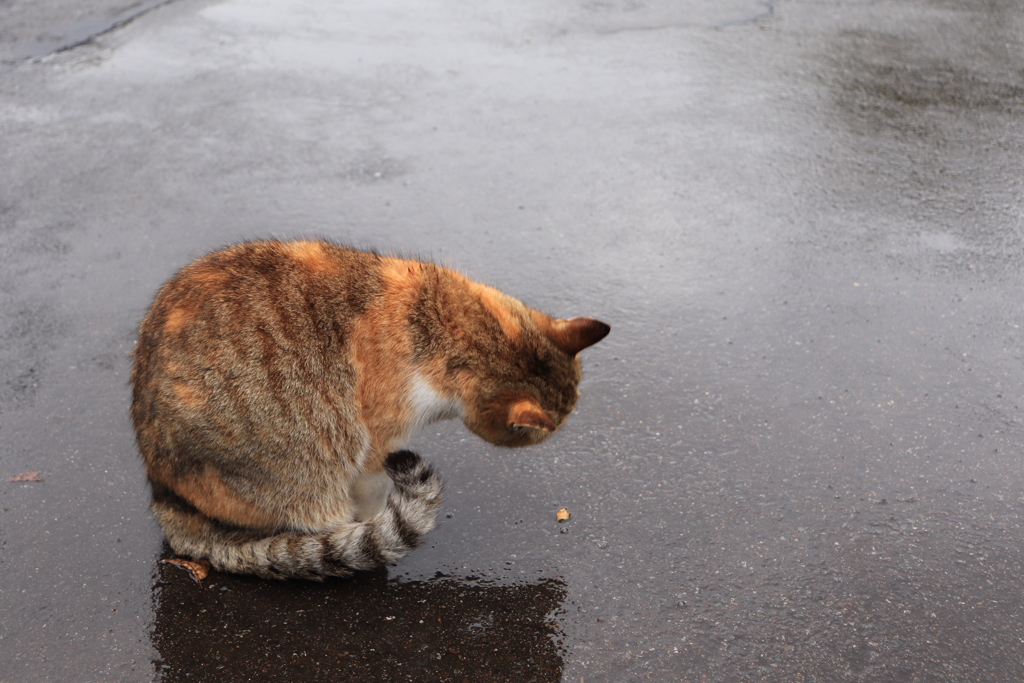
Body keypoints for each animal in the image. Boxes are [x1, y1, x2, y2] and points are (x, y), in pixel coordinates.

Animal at [128, 237, 606, 581]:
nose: (556, 434)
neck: (448, 323)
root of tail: (165, 500)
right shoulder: (378, 442)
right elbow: (375, 492)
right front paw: (377, 523)